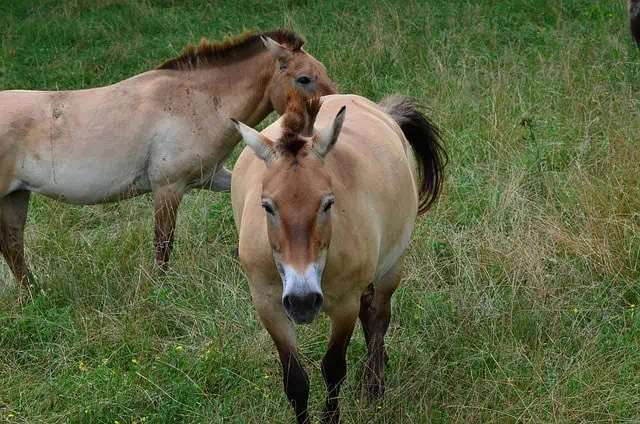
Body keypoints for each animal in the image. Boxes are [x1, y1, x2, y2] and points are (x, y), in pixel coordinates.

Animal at [0, 29, 336, 296]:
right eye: (304, 79)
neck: (198, 101)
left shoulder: (210, 177)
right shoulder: (167, 188)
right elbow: (163, 243)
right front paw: (160, 291)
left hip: (16, 197)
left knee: (13, 247)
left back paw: (33, 294)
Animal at [230, 90, 446, 423]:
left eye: (328, 203)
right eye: (267, 205)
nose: (303, 301)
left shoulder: (344, 305)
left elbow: (333, 369)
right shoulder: (268, 304)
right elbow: (295, 380)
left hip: (391, 269)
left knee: (379, 317)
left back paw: (374, 385)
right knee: (369, 313)